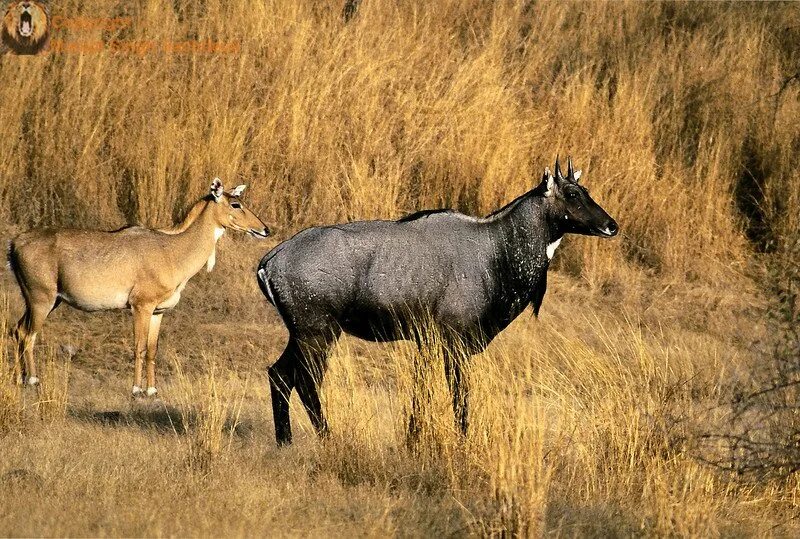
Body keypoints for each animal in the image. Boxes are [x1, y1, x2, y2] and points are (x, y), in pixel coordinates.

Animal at [256, 157, 620, 448]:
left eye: (586, 190)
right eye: (572, 194)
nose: (611, 226)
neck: (495, 249)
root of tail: (269, 262)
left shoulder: (429, 343)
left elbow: (423, 393)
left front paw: (412, 439)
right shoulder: (454, 342)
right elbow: (458, 395)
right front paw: (461, 440)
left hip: (303, 334)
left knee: (279, 374)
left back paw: (285, 442)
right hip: (318, 334)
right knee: (305, 382)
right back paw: (326, 437)